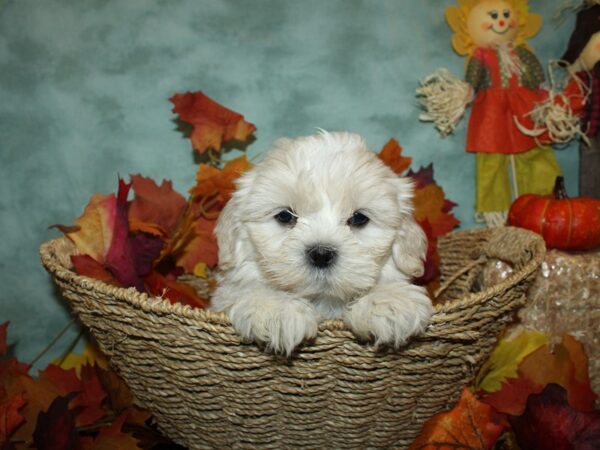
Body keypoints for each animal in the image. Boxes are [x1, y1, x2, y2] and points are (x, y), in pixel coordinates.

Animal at [213, 130, 434, 356]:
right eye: (285, 216)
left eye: (359, 218)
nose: (321, 254)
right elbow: (247, 289)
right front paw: (277, 308)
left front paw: (389, 301)